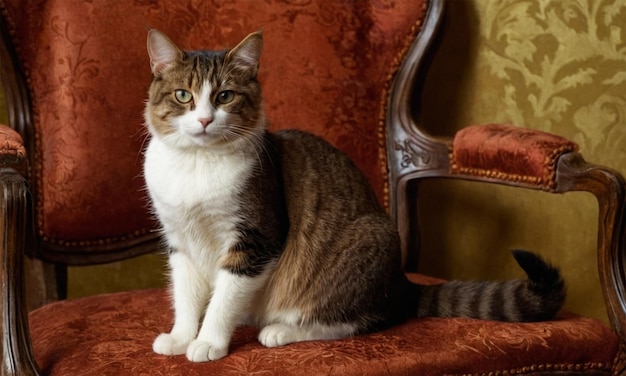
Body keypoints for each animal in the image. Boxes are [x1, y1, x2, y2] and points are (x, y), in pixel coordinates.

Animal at [144, 30, 564, 364]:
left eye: (225, 96)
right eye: (183, 95)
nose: (204, 120)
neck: (196, 164)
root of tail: (401, 284)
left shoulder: (256, 237)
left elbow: (224, 298)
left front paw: (208, 342)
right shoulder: (180, 240)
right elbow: (185, 294)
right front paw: (181, 337)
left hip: (359, 251)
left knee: (354, 320)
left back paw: (281, 330)